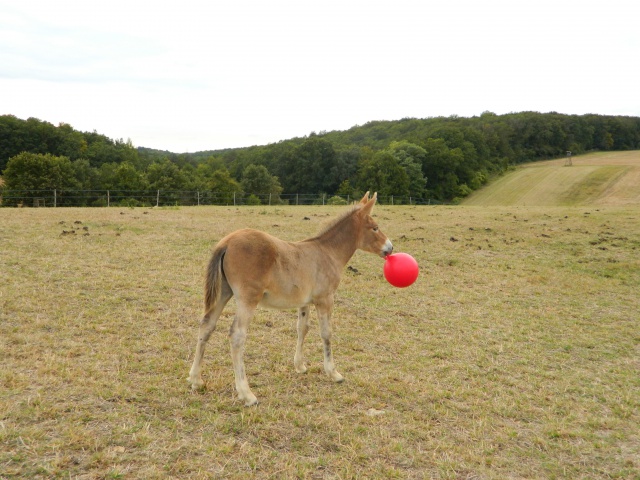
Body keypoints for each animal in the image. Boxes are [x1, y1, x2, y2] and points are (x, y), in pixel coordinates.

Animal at [188, 191, 392, 404]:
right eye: (375, 227)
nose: (390, 248)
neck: (328, 252)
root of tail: (226, 243)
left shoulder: (304, 302)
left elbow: (302, 329)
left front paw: (299, 366)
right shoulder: (325, 299)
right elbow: (326, 333)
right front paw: (333, 373)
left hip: (224, 292)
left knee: (207, 325)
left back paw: (196, 380)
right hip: (247, 299)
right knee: (237, 335)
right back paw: (246, 393)